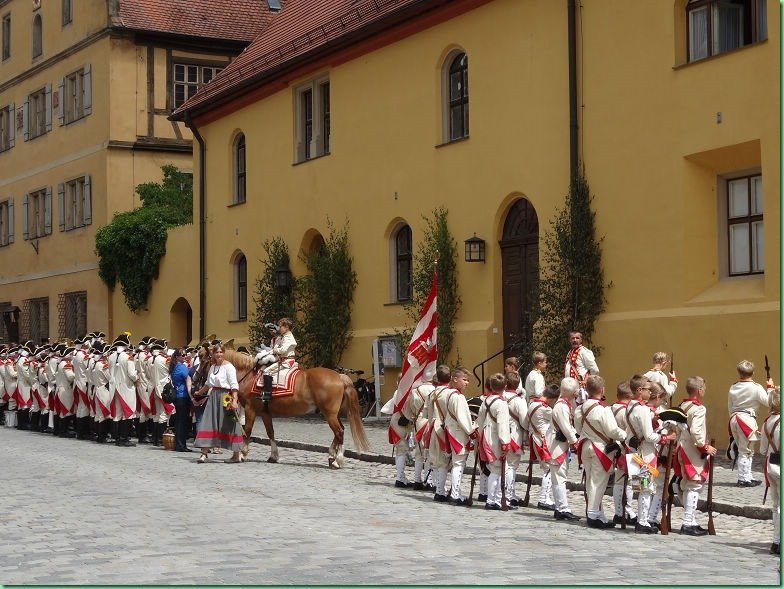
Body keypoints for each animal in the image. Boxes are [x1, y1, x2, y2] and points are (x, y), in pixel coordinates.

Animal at [194, 346, 370, 466]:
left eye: (203, 359)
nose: (195, 379)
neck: (249, 376)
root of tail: (339, 376)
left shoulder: (251, 410)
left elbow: (247, 431)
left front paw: (242, 454)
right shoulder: (265, 412)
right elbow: (270, 432)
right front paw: (273, 456)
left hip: (330, 413)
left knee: (339, 431)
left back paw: (337, 460)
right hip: (332, 413)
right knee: (339, 431)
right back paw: (332, 455)